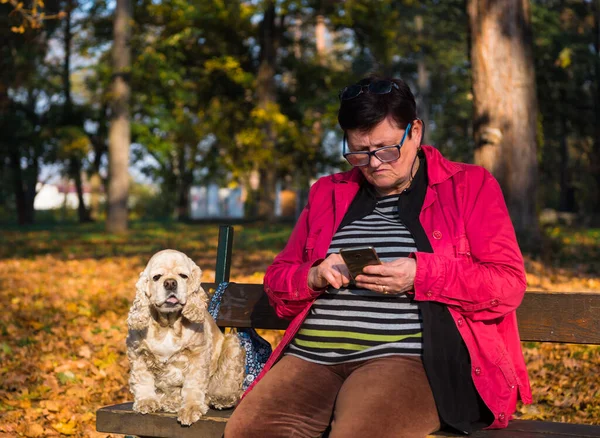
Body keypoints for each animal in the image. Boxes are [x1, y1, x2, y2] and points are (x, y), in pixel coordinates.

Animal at [126, 250, 246, 424]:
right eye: (156, 277)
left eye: (183, 276)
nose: (170, 283)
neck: (168, 324)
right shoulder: (137, 352)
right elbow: (143, 379)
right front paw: (146, 401)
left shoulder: (198, 355)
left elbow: (193, 385)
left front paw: (191, 408)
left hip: (232, 346)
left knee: (226, 382)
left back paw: (221, 398)